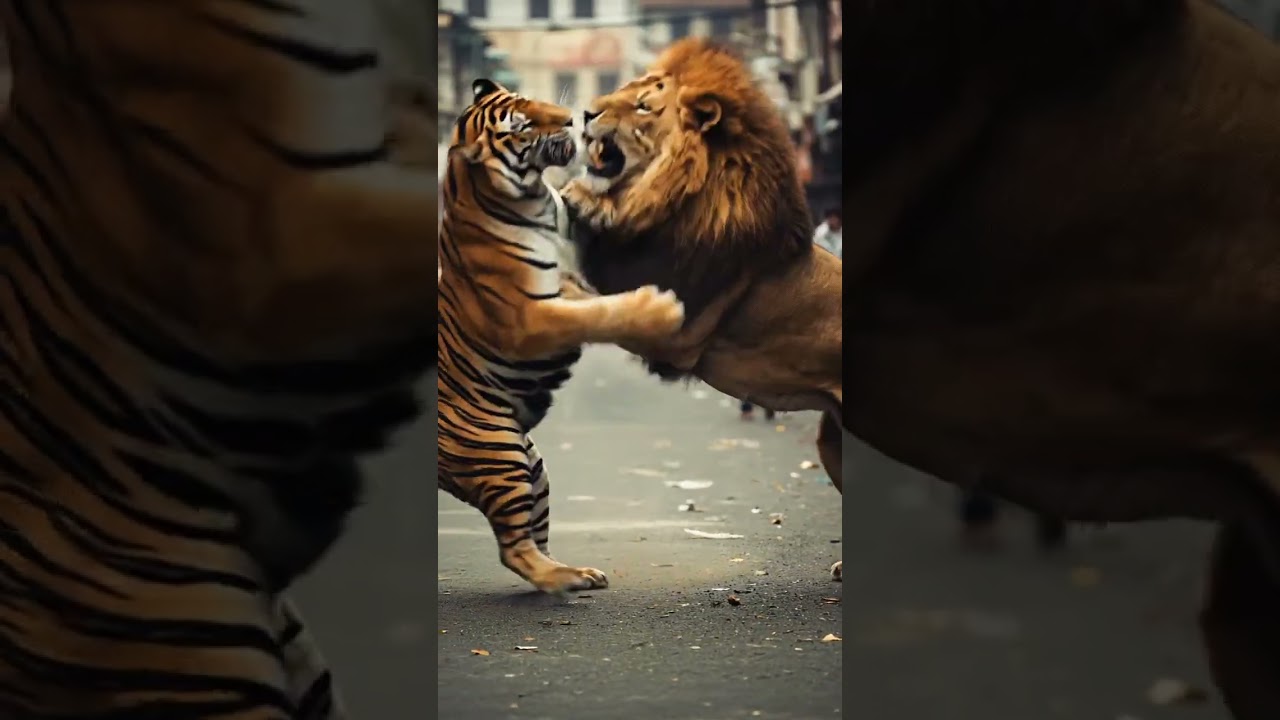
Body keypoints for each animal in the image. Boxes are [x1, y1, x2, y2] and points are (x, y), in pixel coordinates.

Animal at [437, 79, 687, 594]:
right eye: (522, 124)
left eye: (529, 100)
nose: (572, 119)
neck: (535, 198)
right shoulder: (529, 318)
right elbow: (599, 315)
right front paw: (657, 310)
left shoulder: (571, 280)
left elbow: (594, 298)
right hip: (499, 453)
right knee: (515, 549)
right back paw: (565, 579)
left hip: (533, 466)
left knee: (532, 536)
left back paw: (578, 571)